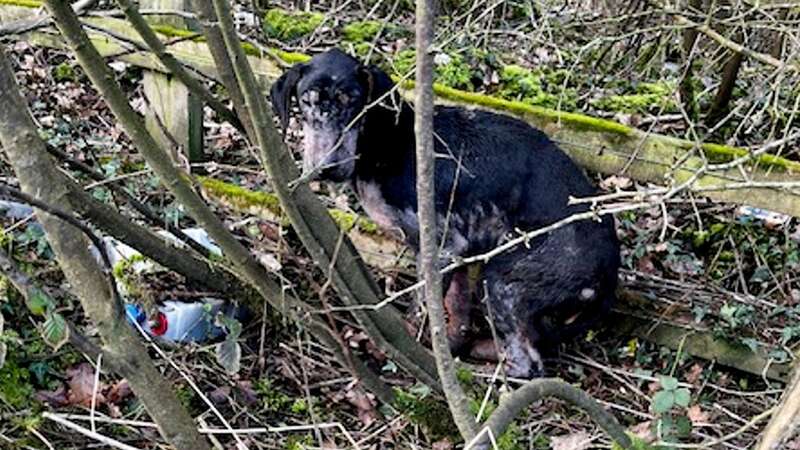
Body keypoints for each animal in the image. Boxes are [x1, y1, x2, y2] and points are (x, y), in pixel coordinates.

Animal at [268, 49, 620, 378]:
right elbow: (456, 315)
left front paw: (408, 351)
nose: (326, 168)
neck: (387, 142)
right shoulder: (461, 252)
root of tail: (611, 270)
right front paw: (448, 351)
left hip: (503, 278)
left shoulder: (442, 249)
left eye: (354, 102)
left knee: (528, 364)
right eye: (306, 101)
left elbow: (421, 308)